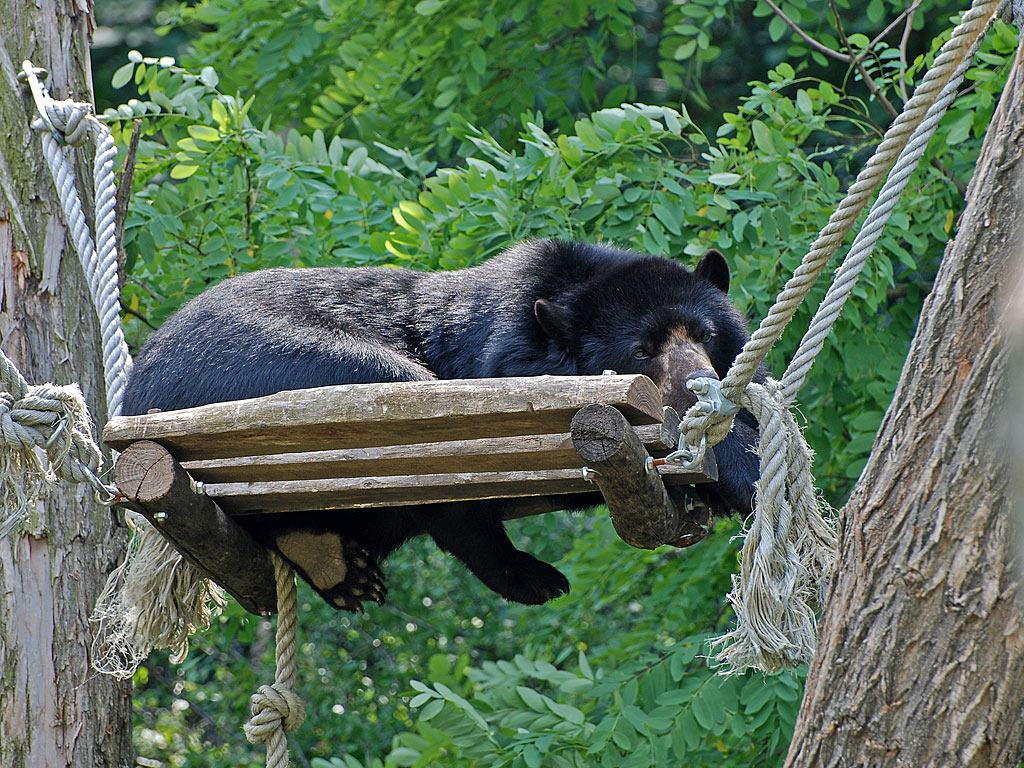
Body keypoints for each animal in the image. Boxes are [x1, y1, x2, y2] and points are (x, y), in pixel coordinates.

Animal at [123, 240, 761, 614]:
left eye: (704, 334)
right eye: (640, 351)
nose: (697, 382)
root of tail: (136, 388)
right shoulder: (500, 373)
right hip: (266, 363)